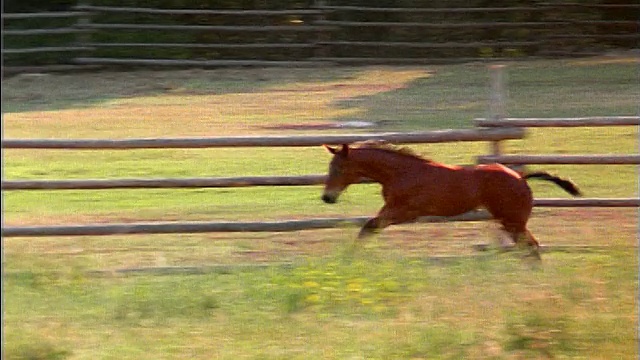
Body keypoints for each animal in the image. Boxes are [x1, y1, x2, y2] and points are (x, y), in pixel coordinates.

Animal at [320, 141, 580, 258]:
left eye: (339, 168)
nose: (327, 198)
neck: (402, 172)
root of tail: (520, 177)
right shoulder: (393, 210)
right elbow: (368, 227)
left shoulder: (403, 211)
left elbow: (369, 227)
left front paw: (350, 256)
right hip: (509, 221)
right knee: (527, 247)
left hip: (513, 220)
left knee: (531, 246)